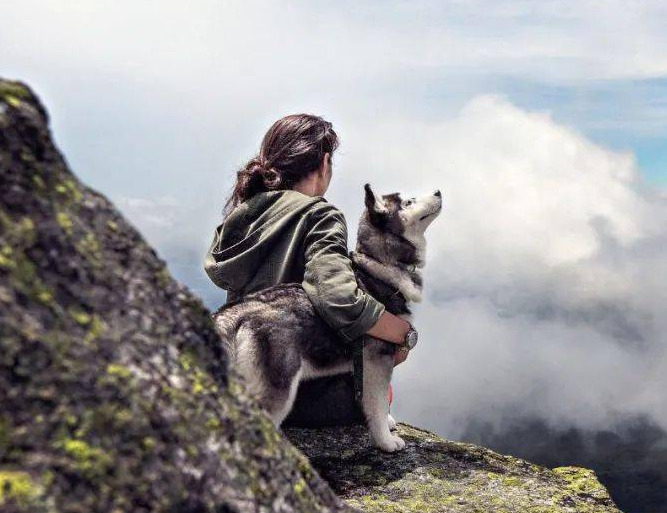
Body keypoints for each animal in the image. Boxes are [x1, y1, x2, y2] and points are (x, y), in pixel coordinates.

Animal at [214, 182, 444, 450]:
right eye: (409, 201)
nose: (439, 191)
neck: (379, 266)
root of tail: (235, 313)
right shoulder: (377, 359)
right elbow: (377, 403)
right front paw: (385, 441)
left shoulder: (363, 366)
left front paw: (387, 423)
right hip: (278, 388)